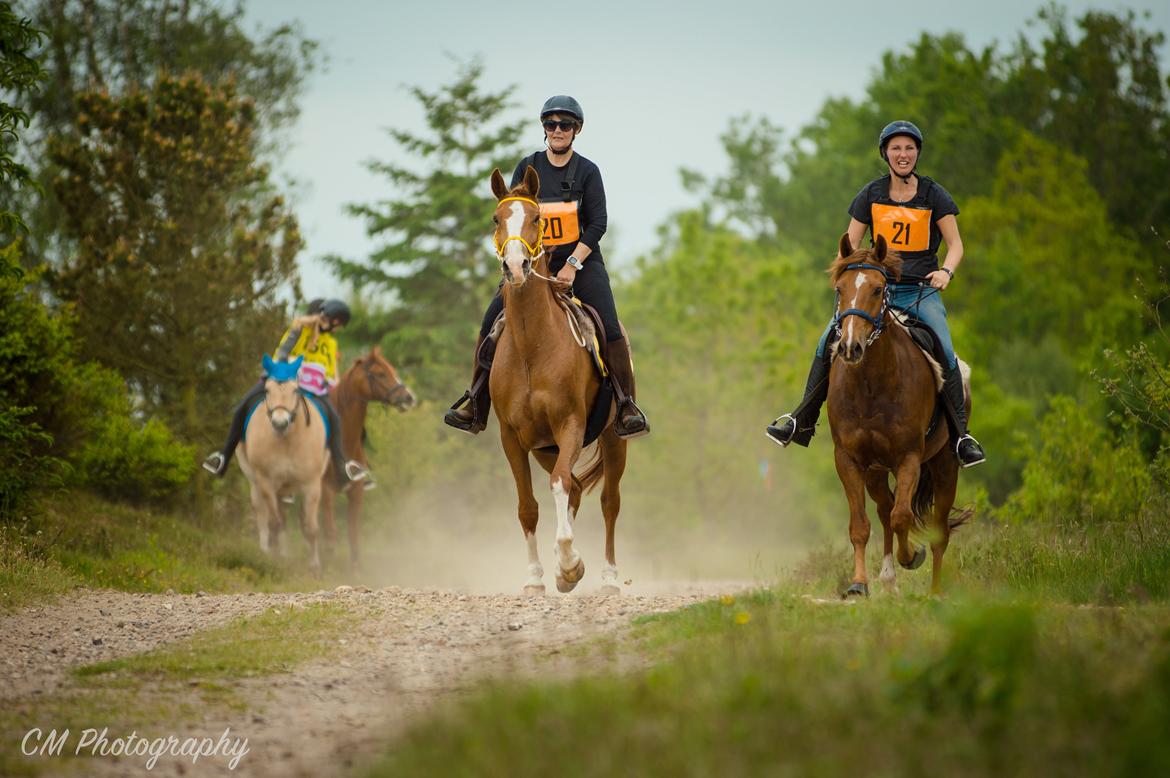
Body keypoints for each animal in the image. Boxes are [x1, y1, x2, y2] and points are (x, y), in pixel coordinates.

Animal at [320, 348, 416, 568]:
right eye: (381, 374)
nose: (408, 397)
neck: (342, 442)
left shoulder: (356, 491)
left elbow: (353, 533)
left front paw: (355, 569)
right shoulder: (326, 491)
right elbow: (330, 533)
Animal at [486, 164, 627, 594]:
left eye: (537, 219)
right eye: (496, 218)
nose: (516, 267)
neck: (532, 347)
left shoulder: (570, 425)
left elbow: (561, 485)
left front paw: (569, 565)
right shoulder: (512, 438)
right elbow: (528, 506)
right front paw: (537, 578)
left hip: (612, 438)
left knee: (608, 501)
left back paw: (609, 577)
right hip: (544, 447)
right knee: (577, 490)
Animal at [828, 231, 973, 594]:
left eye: (878, 289)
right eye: (840, 288)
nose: (850, 347)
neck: (871, 386)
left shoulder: (909, 458)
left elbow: (903, 516)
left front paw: (911, 557)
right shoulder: (849, 459)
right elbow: (861, 525)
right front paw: (859, 585)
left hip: (945, 466)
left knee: (938, 530)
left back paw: (934, 592)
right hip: (877, 471)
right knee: (885, 508)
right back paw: (888, 579)